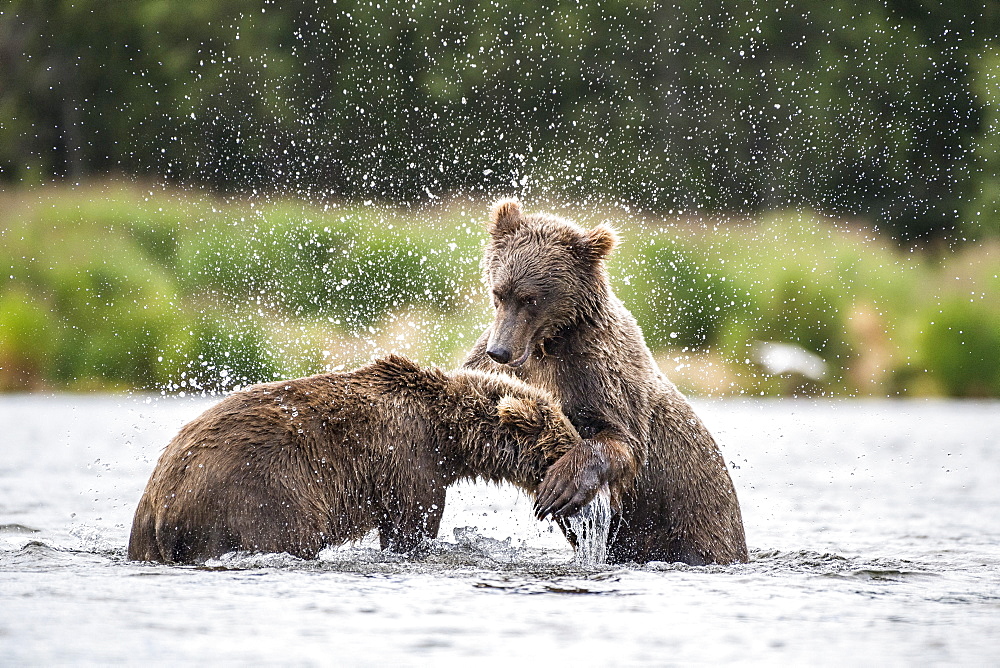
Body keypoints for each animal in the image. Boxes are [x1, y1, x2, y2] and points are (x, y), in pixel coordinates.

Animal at [127, 354, 580, 564]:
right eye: (564, 444)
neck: (448, 435)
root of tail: (159, 504)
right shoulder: (410, 460)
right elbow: (412, 523)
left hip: (151, 527)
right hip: (257, 495)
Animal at [464, 198, 748, 564]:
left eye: (531, 298)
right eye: (499, 292)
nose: (500, 350)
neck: (549, 344)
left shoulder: (597, 370)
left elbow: (621, 439)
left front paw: (560, 487)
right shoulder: (498, 362)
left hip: (695, 515)